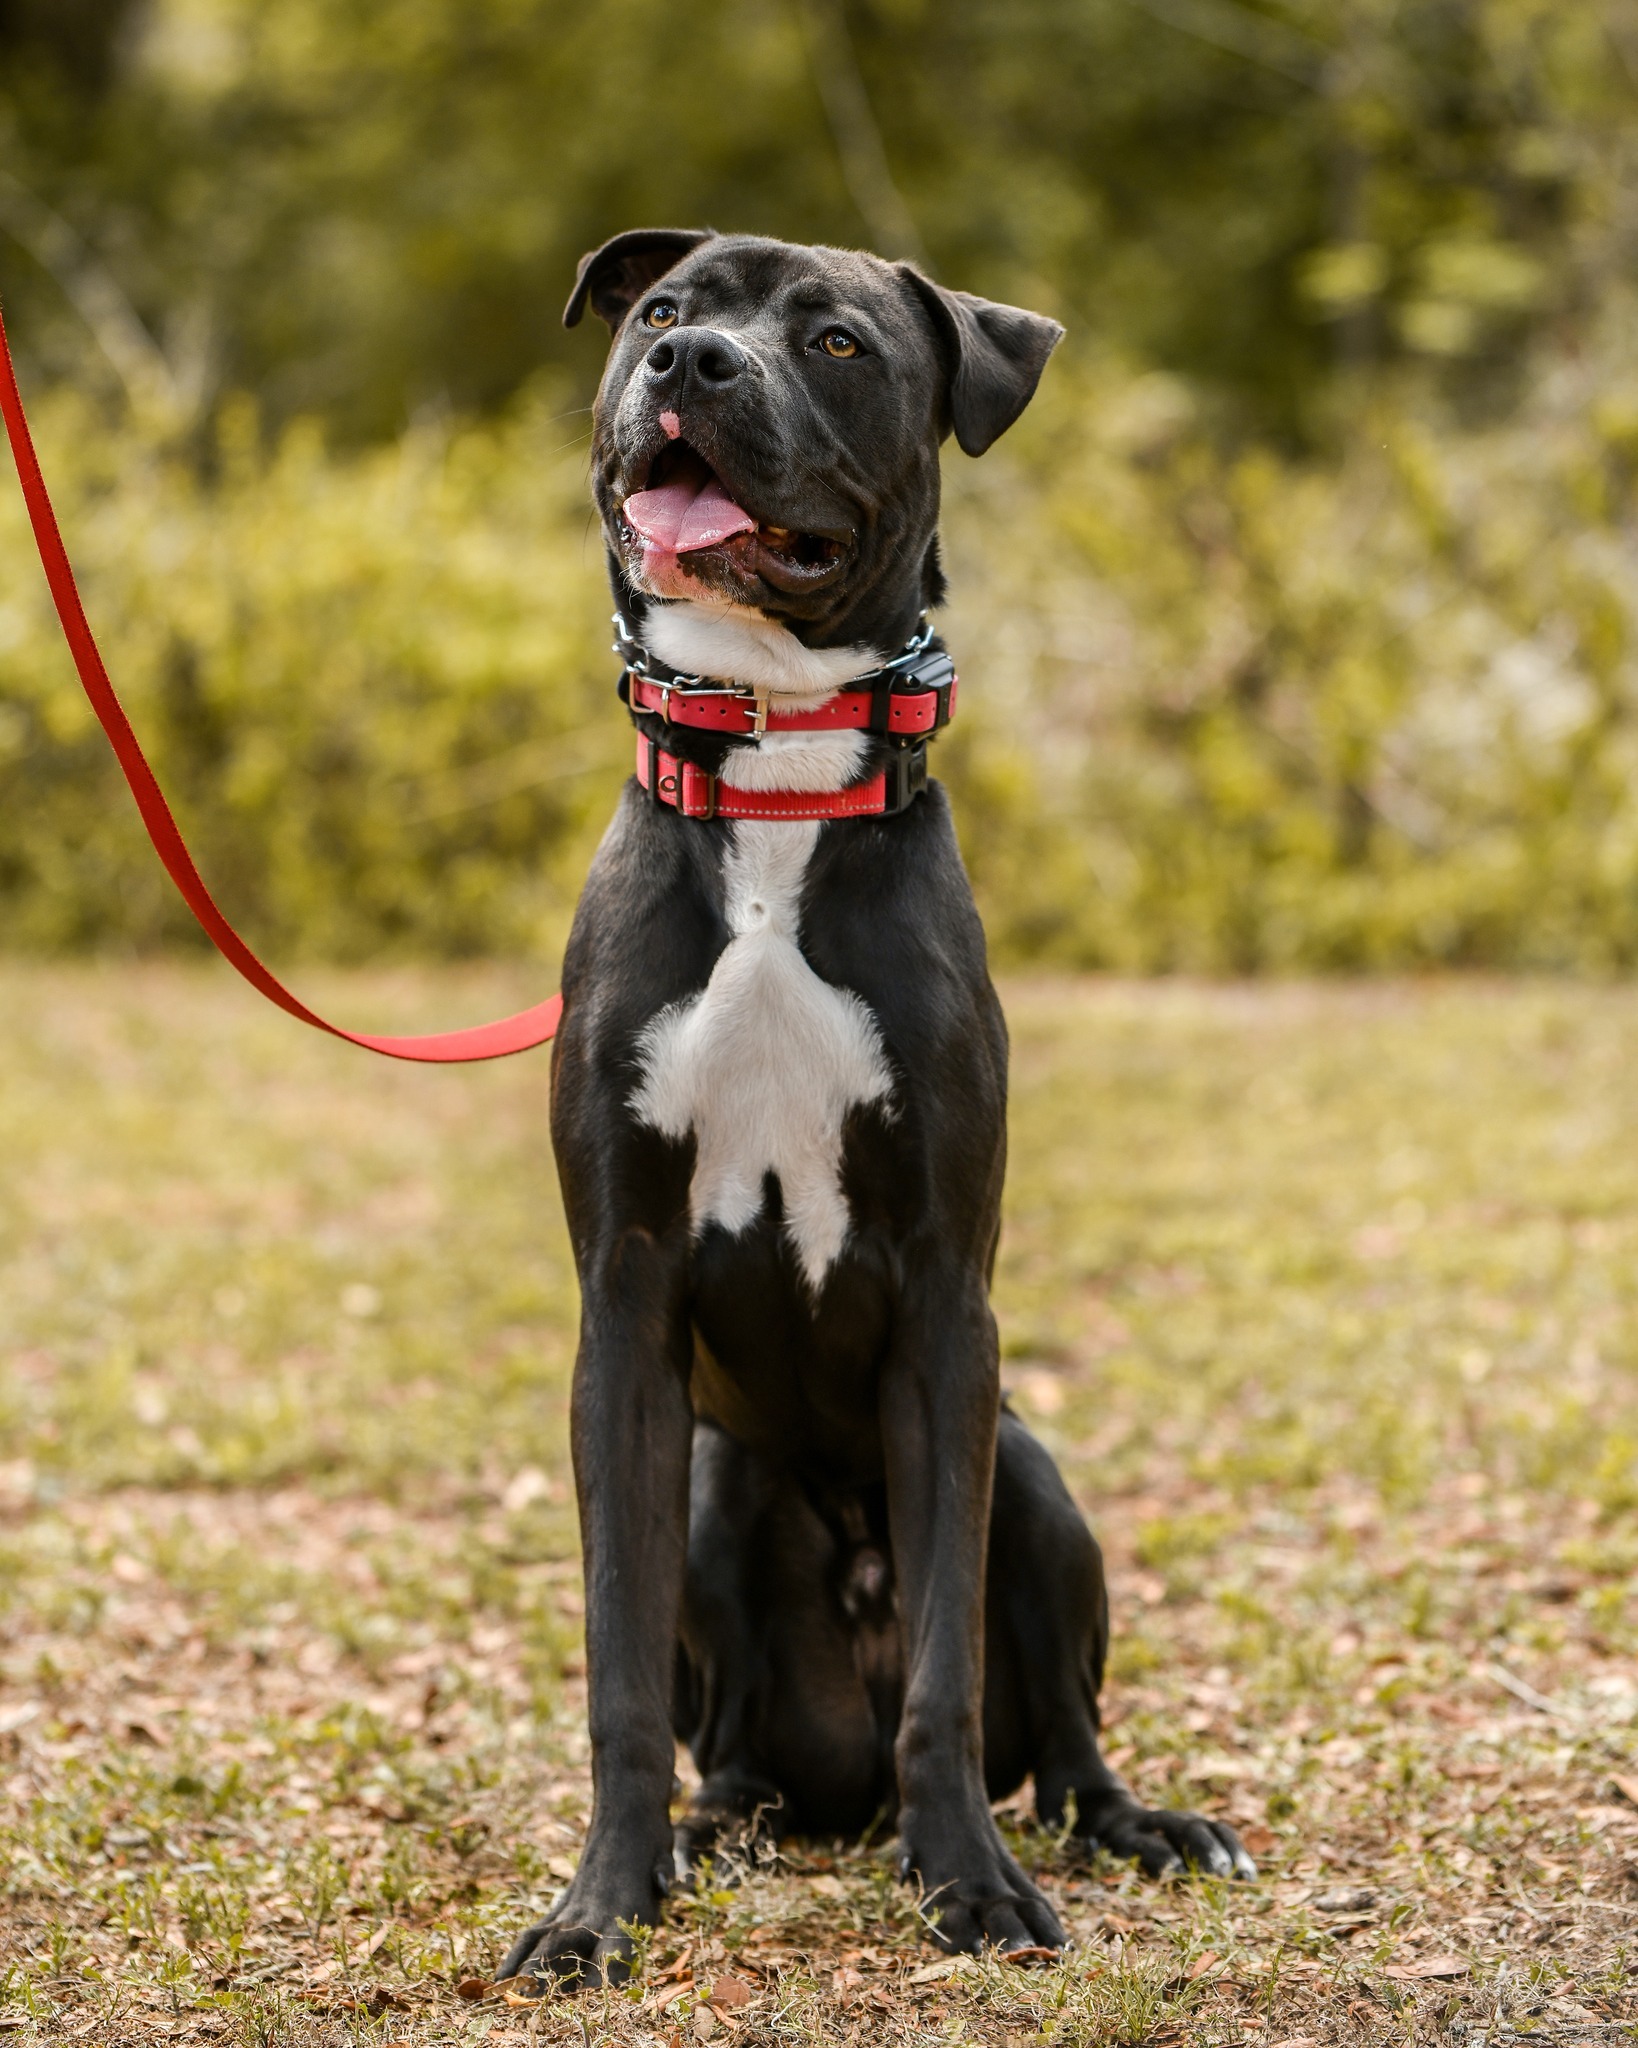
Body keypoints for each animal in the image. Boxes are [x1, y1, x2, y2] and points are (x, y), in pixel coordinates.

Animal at [495, 235, 1244, 1982]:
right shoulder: (622, 1304)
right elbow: (616, 1673)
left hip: (1032, 1479)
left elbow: (949, 1683)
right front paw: (599, 1905)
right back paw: (718, 1826)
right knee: (731, 1743)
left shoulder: (948, 1304)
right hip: (716, 1486)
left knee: (1059, 1734)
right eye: (660, 310)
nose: (690, 362)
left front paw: (966, 1882)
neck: (775, 765)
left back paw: (1131, 1825)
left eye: (835, 340)